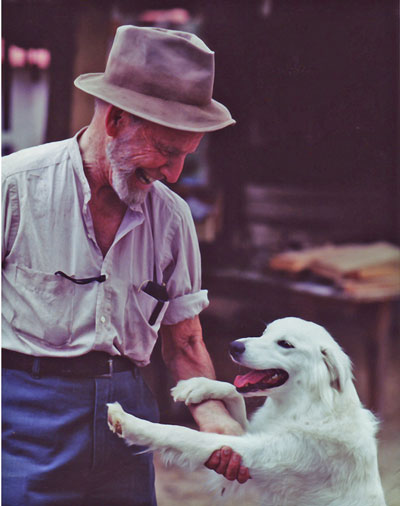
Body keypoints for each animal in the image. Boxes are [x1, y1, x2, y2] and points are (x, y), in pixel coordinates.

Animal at [108, 318, 386, 504]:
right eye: (264, 333)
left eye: (285, 344)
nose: (234, 346)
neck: (305, 407)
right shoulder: (249, 432)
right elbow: (233, 389)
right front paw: (195, 386)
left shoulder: (258, 453)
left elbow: (184, 435)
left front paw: (130, 423)